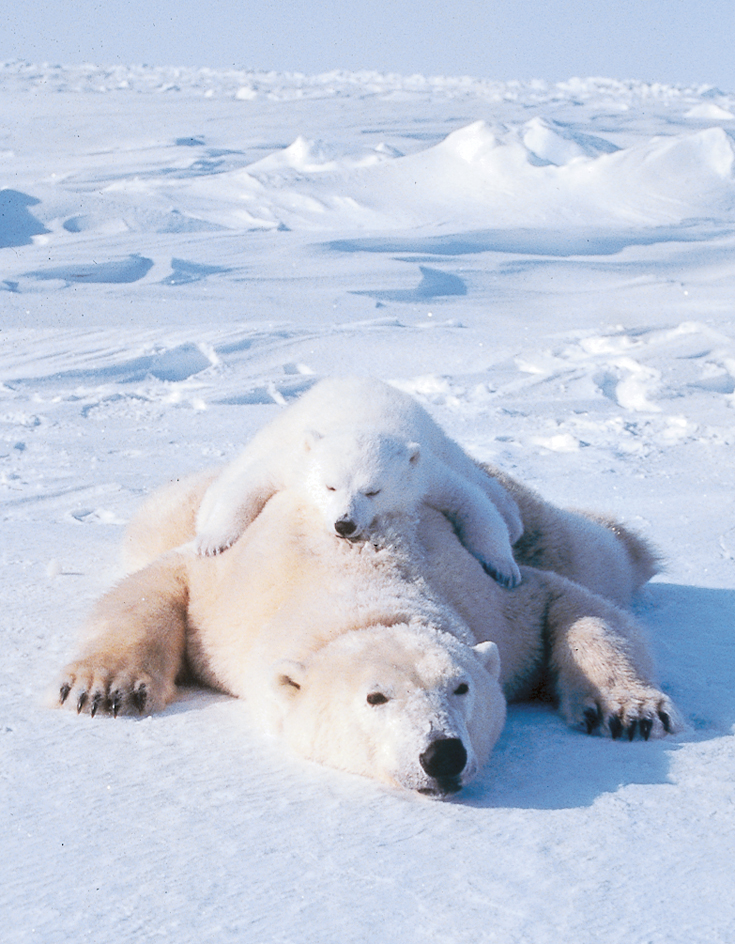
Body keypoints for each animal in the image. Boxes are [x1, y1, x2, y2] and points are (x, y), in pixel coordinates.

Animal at [57, 458, 680, 796]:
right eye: (375, 697)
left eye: (462, 687)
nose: (442, 755)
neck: (362, 576)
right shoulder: (229, 585)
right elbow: (157, 583)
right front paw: (102, 690)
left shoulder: (487, 591)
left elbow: (575, 606)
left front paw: (630, 712)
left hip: (505, 511)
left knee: (590, 552)